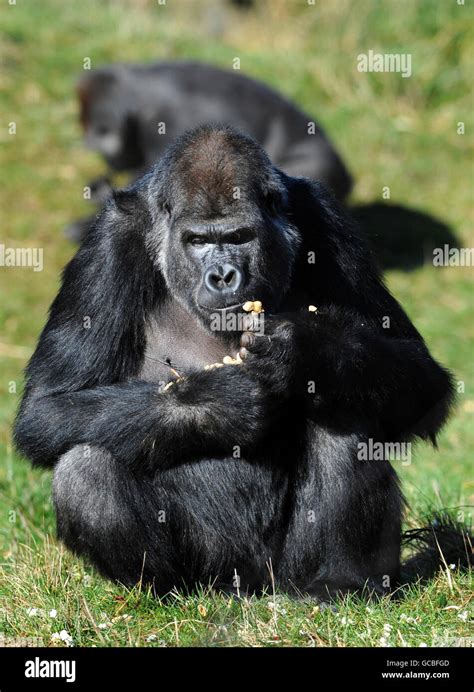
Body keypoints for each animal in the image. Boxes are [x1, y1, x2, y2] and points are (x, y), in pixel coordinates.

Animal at [16, 125, 458, 600]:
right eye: (198, 241)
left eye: (239, 237)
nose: (223, 276)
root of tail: (252, 588)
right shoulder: (108, 242)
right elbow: (47, 406)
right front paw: (220, 402)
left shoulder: (327, 221)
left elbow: (421, 378)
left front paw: (308, 351)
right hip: (215, 573)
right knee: (85, 468)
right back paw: (164, 592)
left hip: (286, 572)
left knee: (348, 407)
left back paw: (340, 581)